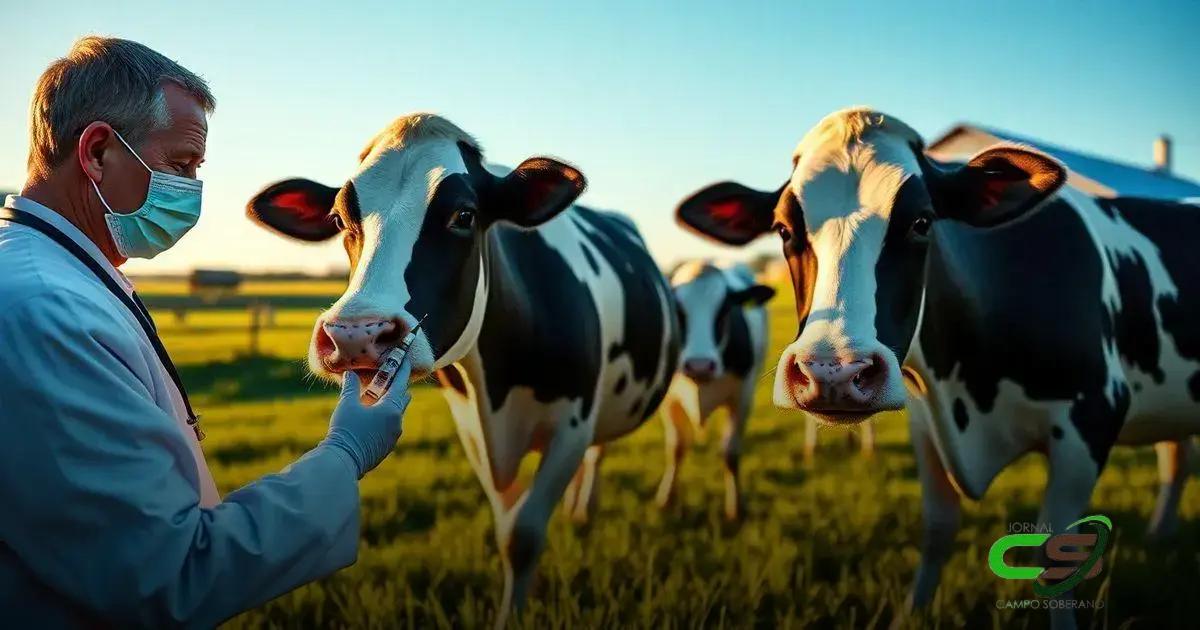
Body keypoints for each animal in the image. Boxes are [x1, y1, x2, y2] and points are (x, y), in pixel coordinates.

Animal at [246, 113, 679, 623]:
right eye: (339, 219)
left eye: (464, 216)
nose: (355, 335)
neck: (500, 387)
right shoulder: (473, 431)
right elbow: (507, 527)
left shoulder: (571, 426)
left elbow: (523, 536)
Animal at [655, 261, 774, 520]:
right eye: (678, 312)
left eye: (724, 311)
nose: (699, 365)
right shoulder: (669, 401)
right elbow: (675, 448)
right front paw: (667, 498)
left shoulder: (742, 398)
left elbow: (730, 453)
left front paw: (735, 507)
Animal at [675, 107, 1200, 628]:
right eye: (784, 229)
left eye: (922, 221)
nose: (832, 373)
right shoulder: (925, 425)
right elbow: (937, 528)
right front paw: (913, 612)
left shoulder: (1091, 419)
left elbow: (1056, 556)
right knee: (1176, 457)